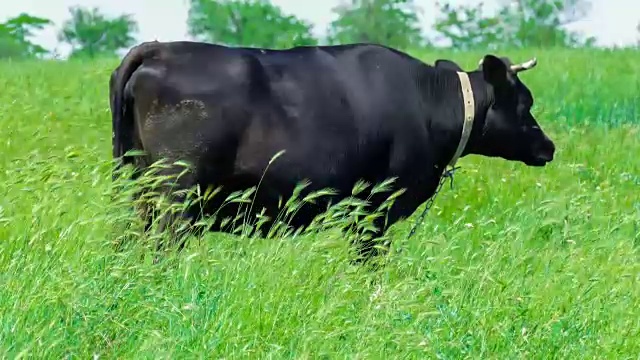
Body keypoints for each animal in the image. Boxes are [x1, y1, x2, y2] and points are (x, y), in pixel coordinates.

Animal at [109, 40, 556, 262]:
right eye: (525, 103)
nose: (548, 146)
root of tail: (159, 48)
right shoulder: (373, 208)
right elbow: (369, 262)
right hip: (176, 193)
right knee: (163, 245)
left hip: (140, 188)